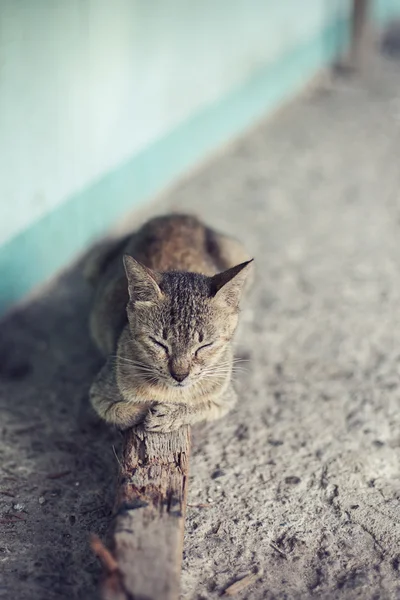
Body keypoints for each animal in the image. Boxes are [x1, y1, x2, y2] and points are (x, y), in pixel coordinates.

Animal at [86, 214, 253, 432]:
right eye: (158, 343)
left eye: (205, 346)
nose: (180, 376)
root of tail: (179, 215)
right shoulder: (99, 392)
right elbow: (120, 411)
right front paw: (145, 408)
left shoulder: (225, 398)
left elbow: (201, 406)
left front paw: (172, 414)